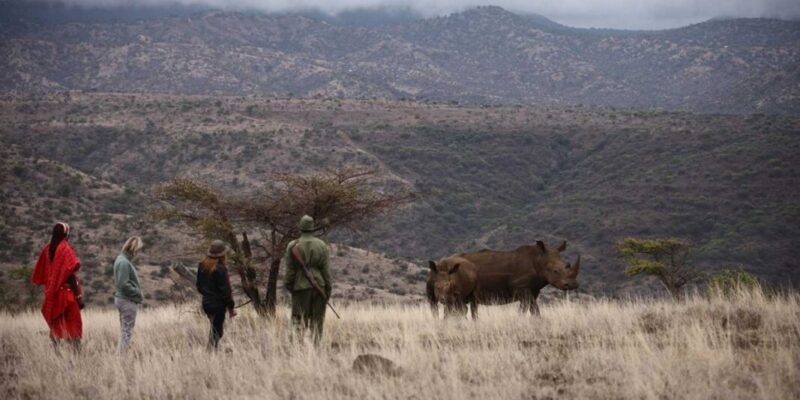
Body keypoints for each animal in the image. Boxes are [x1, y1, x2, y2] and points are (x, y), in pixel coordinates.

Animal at [426, 240, 580, 317]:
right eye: (555, 271)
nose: (572, 285)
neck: (538, 260)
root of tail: (440, 262)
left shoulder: (531, 290)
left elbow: (529, 309)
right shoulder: (523, 288)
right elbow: (532, 309)